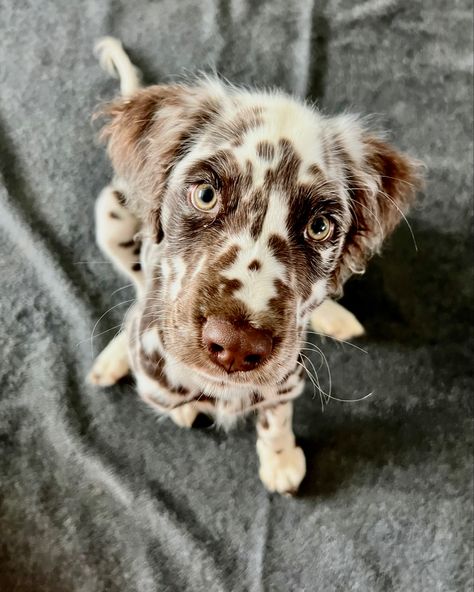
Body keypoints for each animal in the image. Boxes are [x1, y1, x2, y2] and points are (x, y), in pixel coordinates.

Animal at [89, 37, 422, 494]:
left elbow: (276, 417)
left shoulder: (284, 380)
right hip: (110, 217)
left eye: (320, 226)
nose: (235, 346)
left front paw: (279, 459)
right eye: (205, 195)